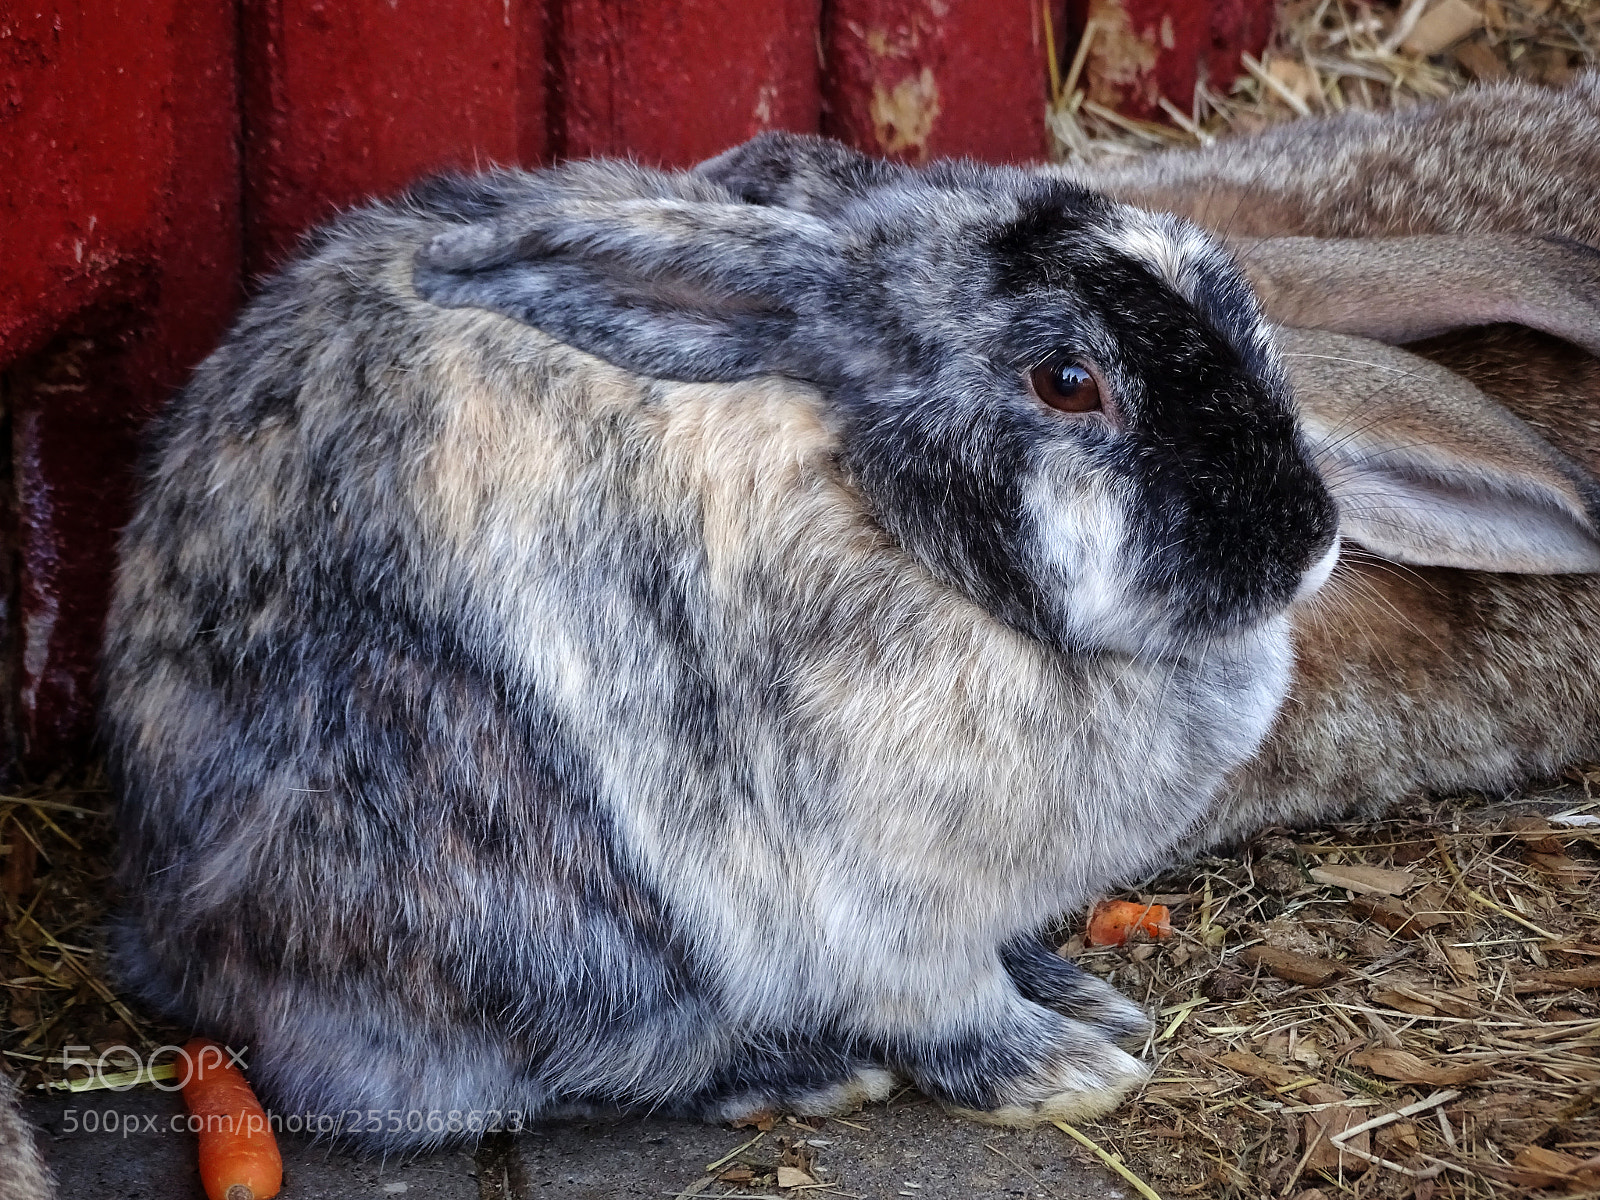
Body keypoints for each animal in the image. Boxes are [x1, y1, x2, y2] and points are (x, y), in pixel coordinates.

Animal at [101, 150, 1342, 1148]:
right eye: (1068, 384)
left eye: (1234, 310)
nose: (1308, 534)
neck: (880, 511)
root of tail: (164, 928)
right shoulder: (878, 902)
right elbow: (944, 1003)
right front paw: (1062, 1069)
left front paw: (1083, 1000)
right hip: (525, 914)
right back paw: (798, 1076)